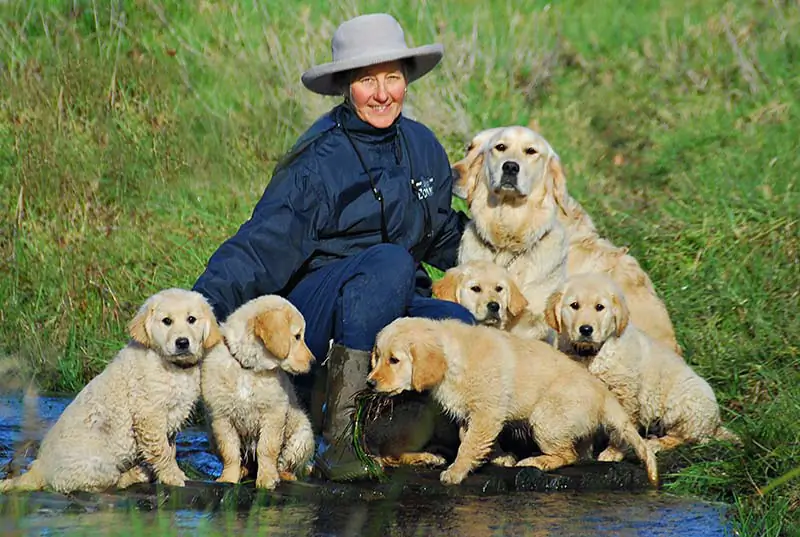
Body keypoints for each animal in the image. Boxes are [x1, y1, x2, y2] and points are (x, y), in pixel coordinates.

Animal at [0, 288, 222, 494]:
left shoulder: (172, 418)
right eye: (166, 321)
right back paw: (135, 474)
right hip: (97, 465)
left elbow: (170, 448)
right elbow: (162, 451)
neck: (172, 367)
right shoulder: (149, 415)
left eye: (191, 319)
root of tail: (38, 470)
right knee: (104, 483)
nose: (182, 342)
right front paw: (174, 476)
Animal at [202, 296, 318, 488]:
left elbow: (267, 449)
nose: (313, 362)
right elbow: (229, 452)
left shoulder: (273, 414)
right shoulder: (221, 418)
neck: (247, 368)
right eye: (297, 336)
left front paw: (267, 479)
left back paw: (284, 474)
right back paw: (243, 470)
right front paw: (228, 478)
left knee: (287, 463)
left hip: (302, 438)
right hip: (212, 436)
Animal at [366, 316, 660, 488]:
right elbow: (470, 439)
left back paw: (537, 462)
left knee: (568, 455)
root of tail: (603, 394)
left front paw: (456, 472)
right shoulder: (473, 414)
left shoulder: (486, 411)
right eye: (377, 356)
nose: (370, 383)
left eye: (394, 360)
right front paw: (499, 456)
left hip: (546, 417)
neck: (454, 359)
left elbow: (469, 445)